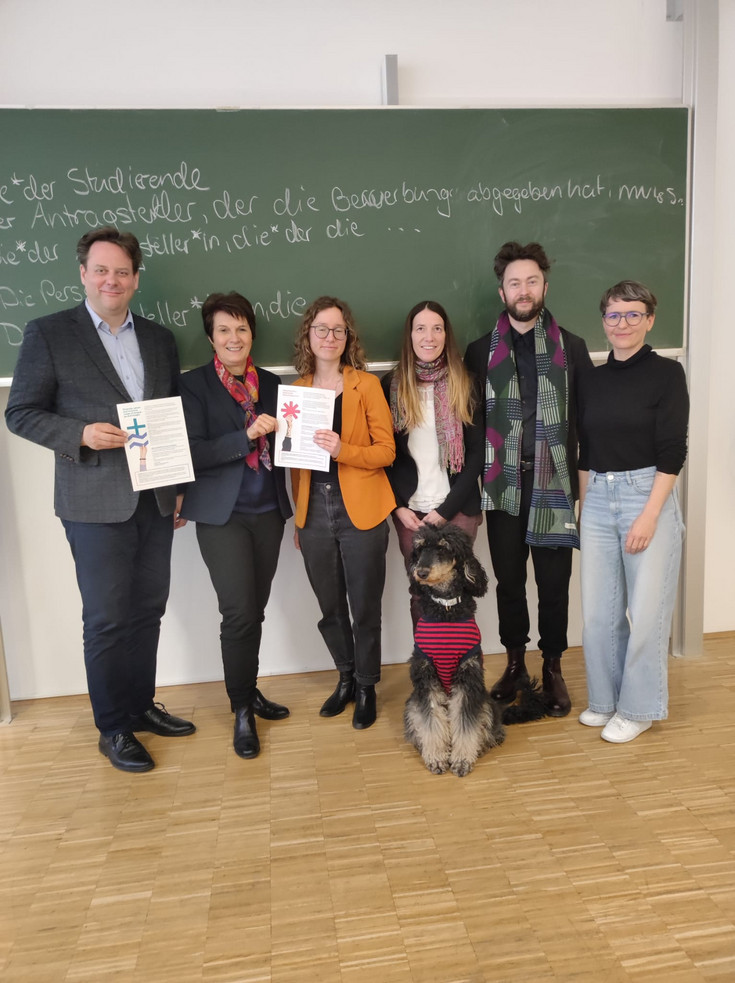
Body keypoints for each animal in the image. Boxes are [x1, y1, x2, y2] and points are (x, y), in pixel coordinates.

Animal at [402, 524, 548, 776]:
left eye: (443, 548)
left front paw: (461, 760)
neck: (446, 609)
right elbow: (431, 721)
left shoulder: (468, 677)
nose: (420, 572)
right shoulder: (425, 676)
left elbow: (466, 723)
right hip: (412, 703)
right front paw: (437, 758)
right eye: (419, 549)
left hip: (485, 702)